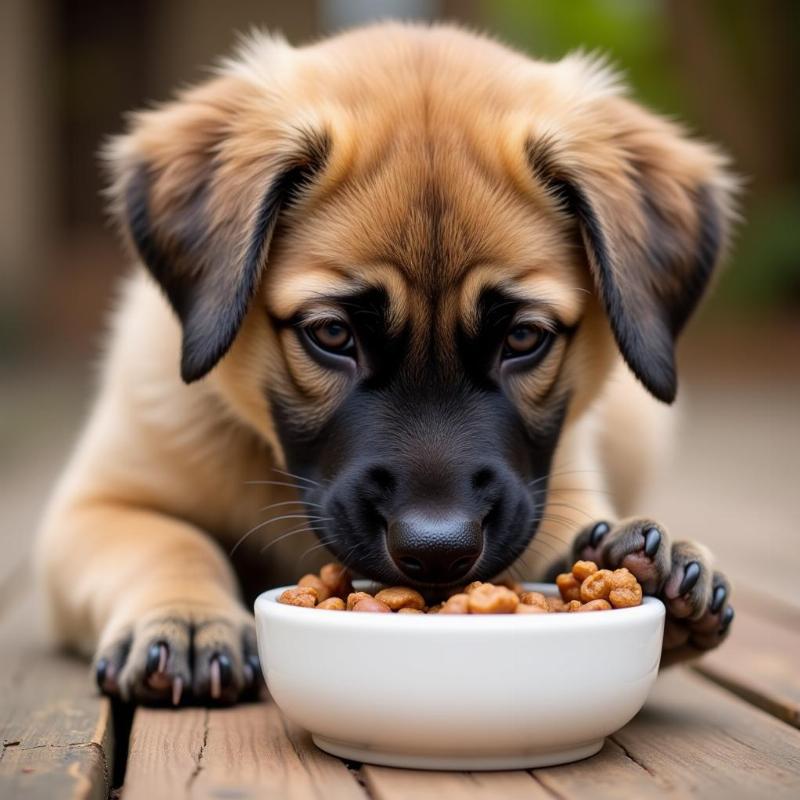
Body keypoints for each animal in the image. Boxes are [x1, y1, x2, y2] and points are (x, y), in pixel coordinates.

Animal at [36, 21, 736, 704]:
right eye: (333, 333)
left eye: (523, 338)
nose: (438, 552)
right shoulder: (94, 506)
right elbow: (170, 541)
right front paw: (186, 617)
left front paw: (649, 569)